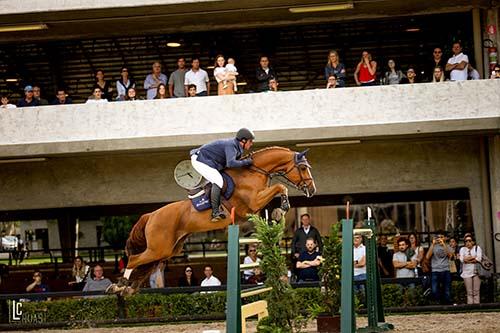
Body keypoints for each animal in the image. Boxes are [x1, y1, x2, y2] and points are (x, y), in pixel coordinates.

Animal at [108, 145, 316, 294]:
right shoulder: (254, 202)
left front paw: (278, 213)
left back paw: (128, 288)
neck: (254, 172)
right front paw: (283, 207)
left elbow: (278, 192)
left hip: (168, 250)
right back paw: (120, 285)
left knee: (146, 265)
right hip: (159, 247)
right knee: (134, 259)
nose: (312, 190)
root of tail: (150, 215)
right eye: (303, 168)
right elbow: (280, 187)